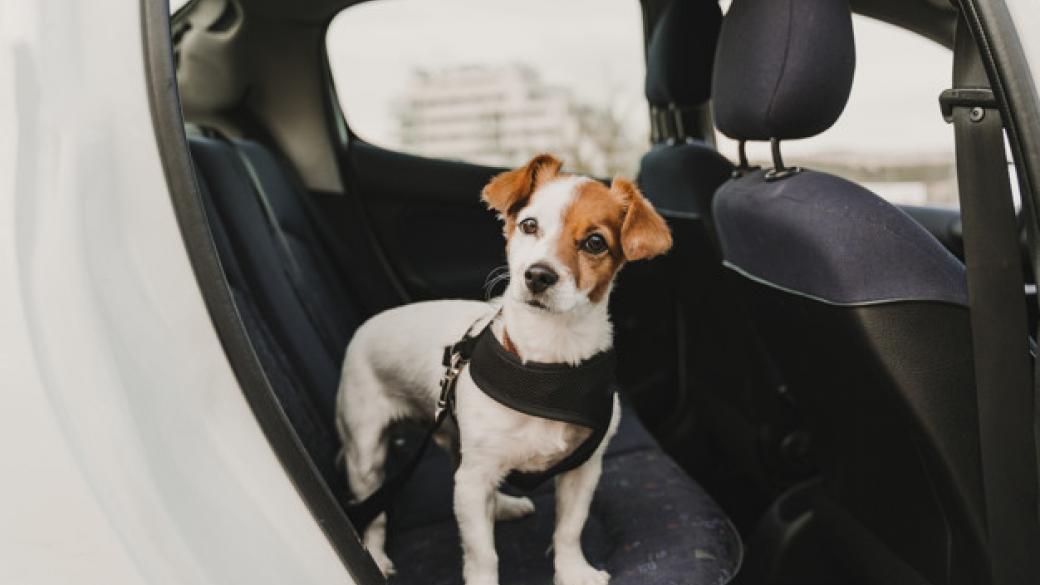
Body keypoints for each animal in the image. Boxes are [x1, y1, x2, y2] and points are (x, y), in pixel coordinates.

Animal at [334, 153, 673, 578]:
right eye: (529, 225)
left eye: (595, 242)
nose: (538, 275)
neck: (546, 365)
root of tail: (365, 326)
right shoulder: (475, 478)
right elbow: (483, 555)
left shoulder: (583, 469)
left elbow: (569, 529)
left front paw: (572, 573)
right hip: (366, 453)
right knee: (375, 512)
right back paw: (376, 557)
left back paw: (503, 507)